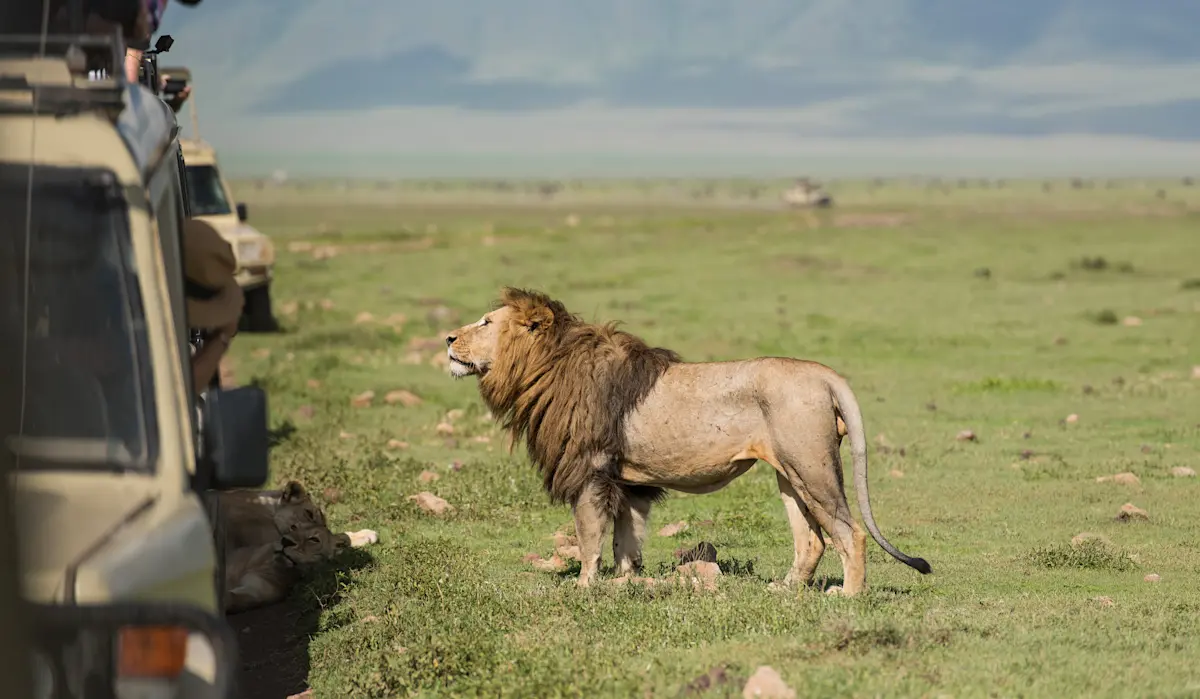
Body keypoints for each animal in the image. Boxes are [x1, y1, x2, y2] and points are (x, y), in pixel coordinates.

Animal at [445, 287, 931, 595]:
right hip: (790, 474)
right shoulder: (628, 482)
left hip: (812, 468)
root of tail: (824, 373)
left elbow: (589, 537)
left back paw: (848, 596)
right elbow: (626, 540)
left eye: (485, 322)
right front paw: (626, 582)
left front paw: (584, 587)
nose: (448, 338)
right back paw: (785, 589)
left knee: (851, 533)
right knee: (811, 540)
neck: (545, 367)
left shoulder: (589, 469)